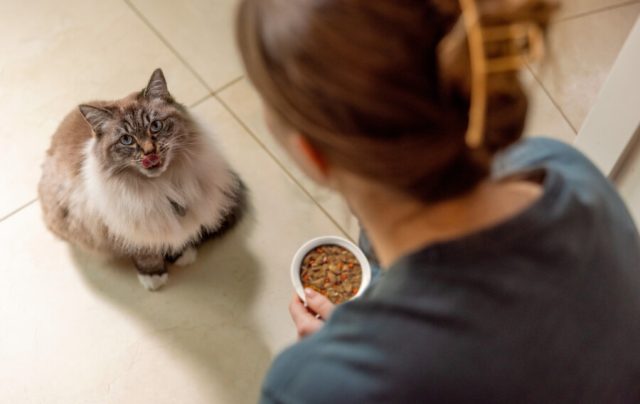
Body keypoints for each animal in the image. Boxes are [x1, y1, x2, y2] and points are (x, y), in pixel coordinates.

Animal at [37, 69, 246, 290]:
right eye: (126, 140)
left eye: (155, 126)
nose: (149, 152)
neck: (163, 187)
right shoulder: (128, 224)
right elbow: (145, 252)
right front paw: (154, 275)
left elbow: (176, 237)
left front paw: (180, 254)